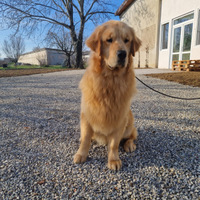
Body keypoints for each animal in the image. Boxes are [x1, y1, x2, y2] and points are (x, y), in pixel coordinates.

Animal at [74, 20, 141, 170]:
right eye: (109, 40)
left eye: (127, 40)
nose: (122, 54)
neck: (110, 80)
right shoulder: (87, 114)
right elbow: (86, 138)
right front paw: (81, 154)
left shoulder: (119, 119)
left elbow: (114, 144)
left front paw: (114, 160)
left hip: (129, 121)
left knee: (132, 135)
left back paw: (130, 144)